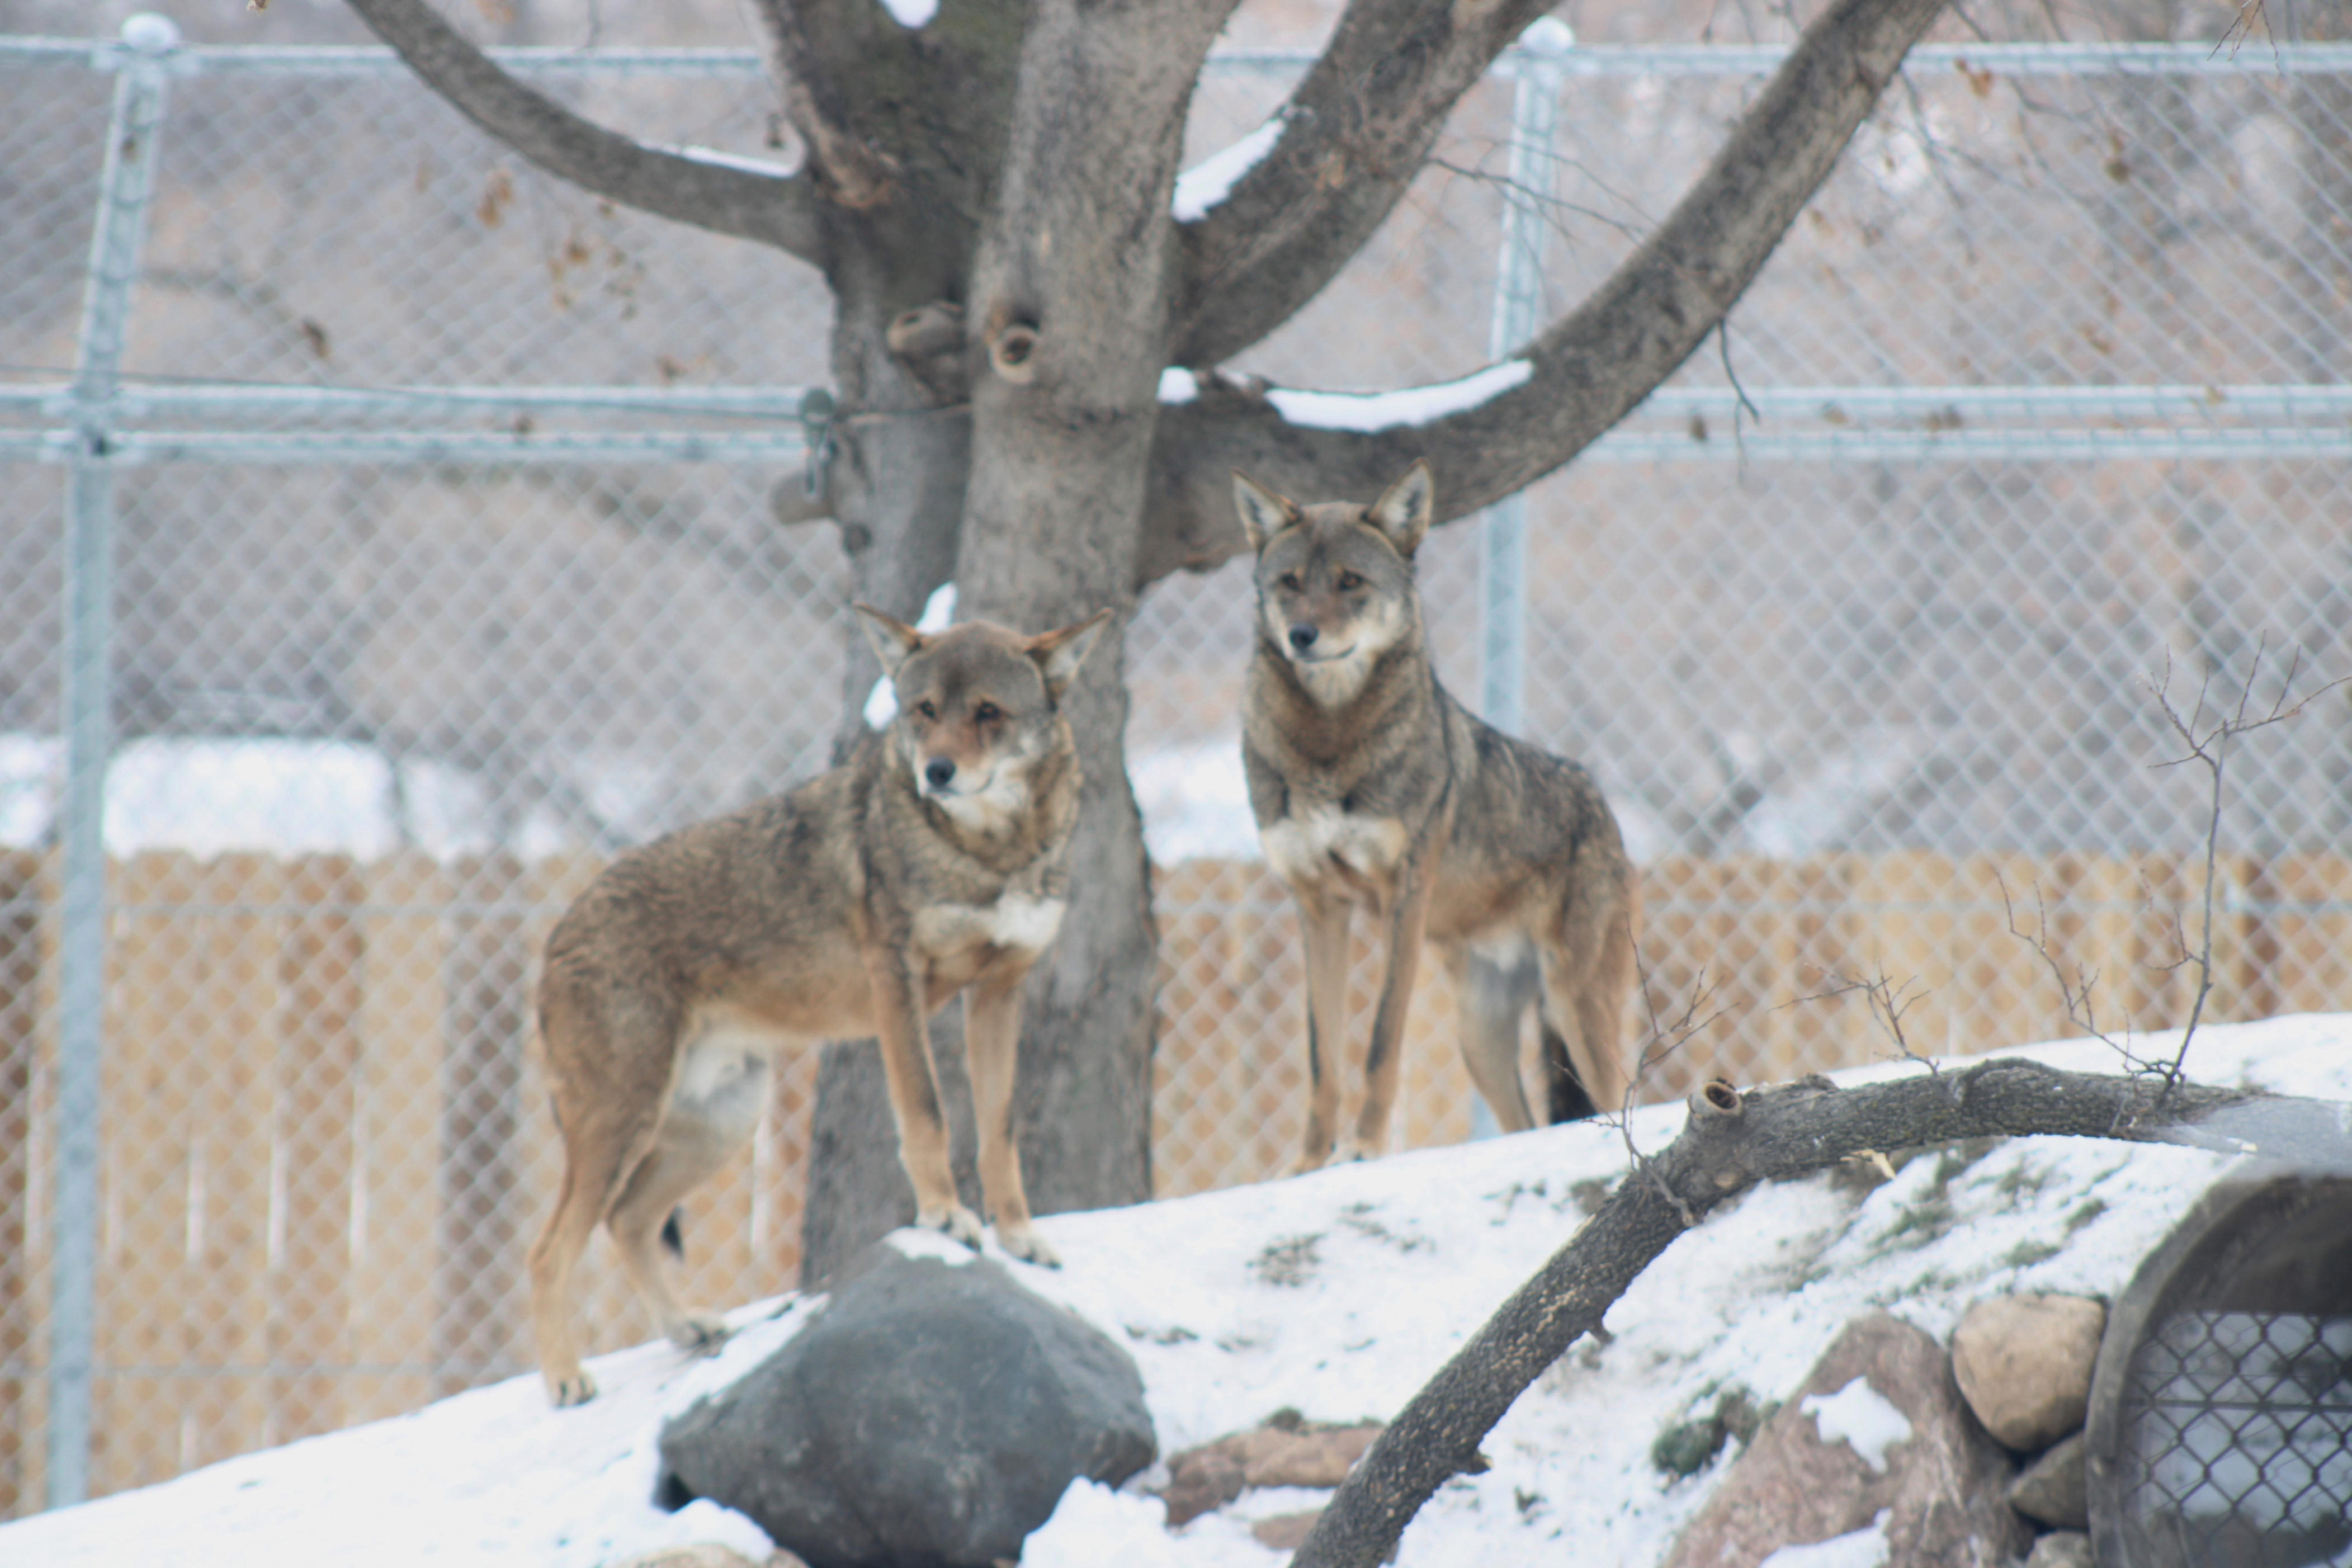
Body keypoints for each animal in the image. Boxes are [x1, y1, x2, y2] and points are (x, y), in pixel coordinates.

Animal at [526, 604, 1108, 1406]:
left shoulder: (1002, 991)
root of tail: (558, 931)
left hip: (718, 1126)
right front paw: (945, 1216)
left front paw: (1019, 1236)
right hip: (623, 1125)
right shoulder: (896, 980)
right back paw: (565, 1379)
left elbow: (999, 1133)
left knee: (628, 1222)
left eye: (988, 713)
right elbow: (927, 1114)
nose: (936, 772)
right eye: (925, 711)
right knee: (550, 1250)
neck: (993, 852)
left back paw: (688, 1329)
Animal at [1234, 460, 1639, 1169]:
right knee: (1525, 1123)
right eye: (1290, 583)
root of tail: (1602, 803)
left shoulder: (1405, 894)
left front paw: (1366, 1148)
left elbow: (1379, 1042)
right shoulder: (1317, 904)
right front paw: (1309, 1164)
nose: (1301, 637)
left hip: (1578, 1008)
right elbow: (1321, 1058)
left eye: (1350, 581)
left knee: (1629, 1097)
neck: (1328, 742)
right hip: (1480, 1041)